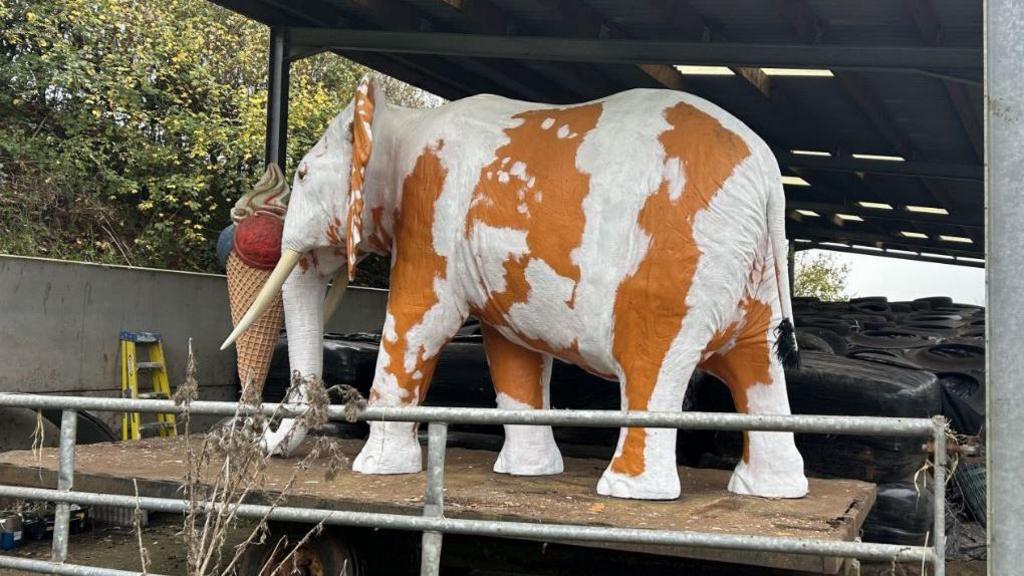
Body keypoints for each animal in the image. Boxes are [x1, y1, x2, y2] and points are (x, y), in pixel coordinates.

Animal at [224, 75, 806, 498]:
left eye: (301, 175)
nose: (258, 439)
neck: (402, 121)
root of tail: (768, 178)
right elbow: (512, 351)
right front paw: (528, 473)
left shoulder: (431, 217)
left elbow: (419, 322)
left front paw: (375, 469)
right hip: (750, 272)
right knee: (758, 367)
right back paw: (770, 490)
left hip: (674, 267)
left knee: (652, 363)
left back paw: (627, 492)